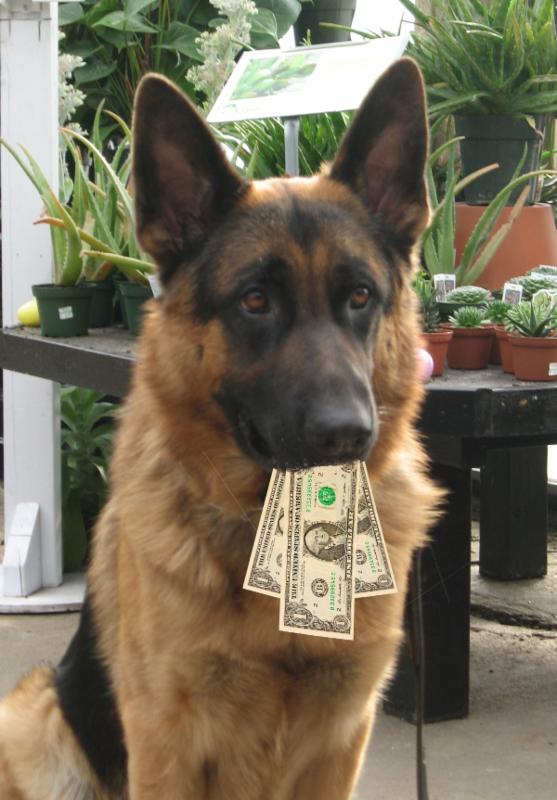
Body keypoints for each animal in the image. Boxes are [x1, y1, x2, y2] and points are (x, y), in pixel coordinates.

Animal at [0, 57, 442, 799]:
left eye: (360, 297)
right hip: (33, 718)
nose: (348, 434)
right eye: (255, 301)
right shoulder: (165, 745)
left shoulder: (341, 739)